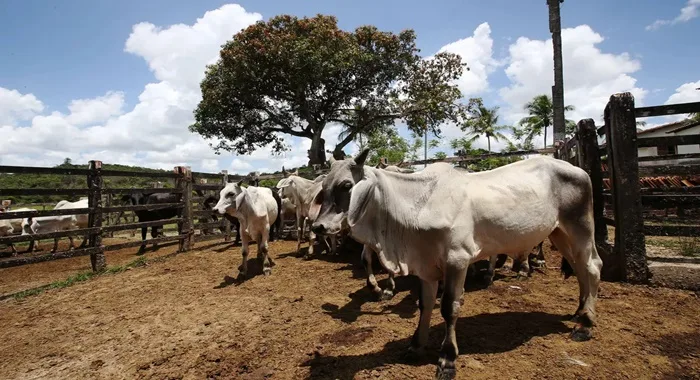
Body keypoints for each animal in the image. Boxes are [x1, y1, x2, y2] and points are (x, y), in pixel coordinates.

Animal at [308, 150, 604, 378]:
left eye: (347, 185)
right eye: (323, 187)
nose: (318, 226)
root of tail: (577, 169)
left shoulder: (457, 260)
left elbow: (449, 308)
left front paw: (447, 359)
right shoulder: (426, 266)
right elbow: (425, 304)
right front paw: (416, 346)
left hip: (580, 227)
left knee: (592, 266)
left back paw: (585, 324)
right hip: (559, 232)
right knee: (580, 269)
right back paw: (579, 311)